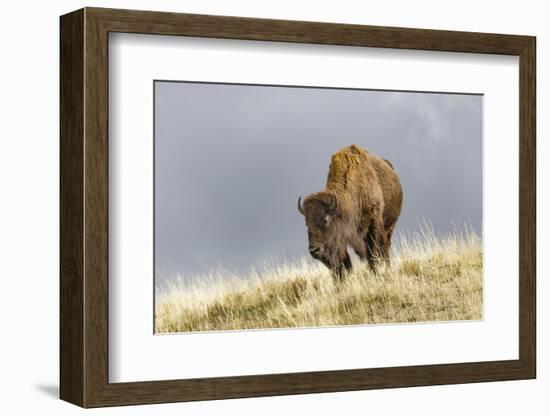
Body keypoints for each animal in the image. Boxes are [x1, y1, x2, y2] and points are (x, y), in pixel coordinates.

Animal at [300, 144, 404, 280]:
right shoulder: (342, 236)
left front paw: (375, 274)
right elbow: (345, 262)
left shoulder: (374, 222)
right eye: (307, 223)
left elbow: (373, 253)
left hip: (389, 227)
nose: (314, 250)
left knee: (385, 247)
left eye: (326, 219)